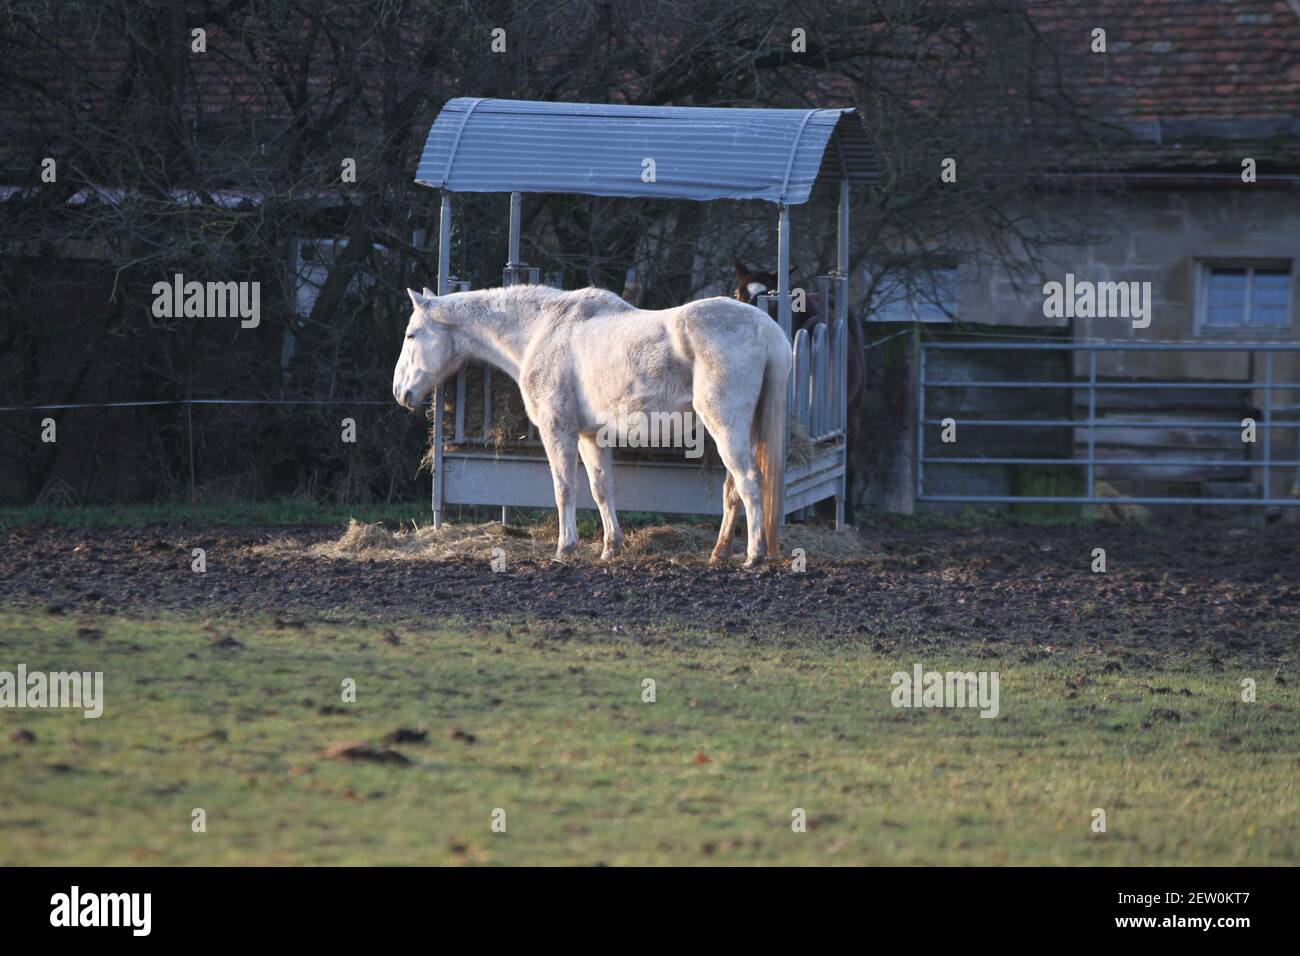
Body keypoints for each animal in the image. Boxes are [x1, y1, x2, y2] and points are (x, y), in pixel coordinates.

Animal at [392, 284, 791, 567]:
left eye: (411, 335)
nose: (399, 391)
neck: (541, 330)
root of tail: (766, 326)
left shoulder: (558, 429)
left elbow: (564, 488)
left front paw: (565, 547)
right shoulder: (590, 435)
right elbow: (602, 489)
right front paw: (610, 547)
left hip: (725, 426)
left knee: (749, 481)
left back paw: (753, 555)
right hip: (742, 431)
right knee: (733, 488)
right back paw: (720, 553)